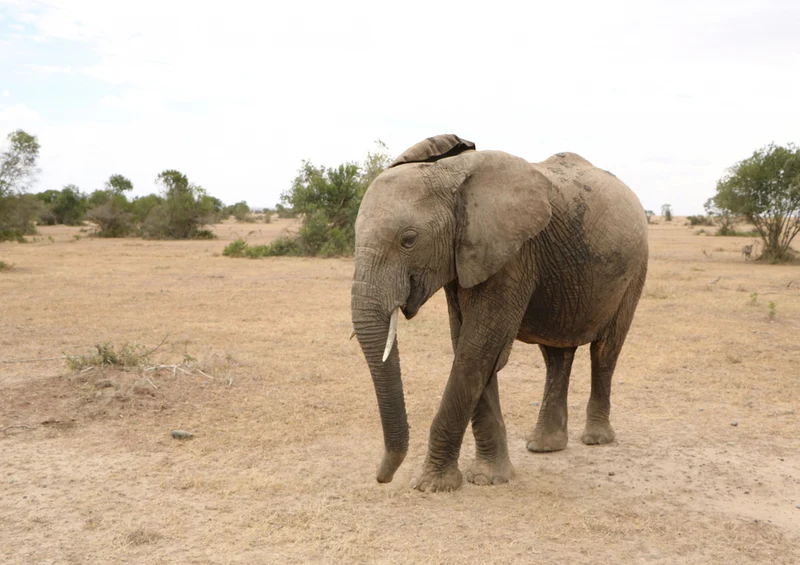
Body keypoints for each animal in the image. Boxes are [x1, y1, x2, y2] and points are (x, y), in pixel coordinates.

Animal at [350, 134, 648, 492]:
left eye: (408, 240)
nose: (382, 477)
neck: (452, 174)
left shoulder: (514, 255)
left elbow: (477, 347)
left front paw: (434, 485)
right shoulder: (465, 256)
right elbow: (469, 347)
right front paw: (489, 478)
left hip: (634, 269)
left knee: (605, 350)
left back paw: (596, 439)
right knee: (556, 356)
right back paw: (544, 446)